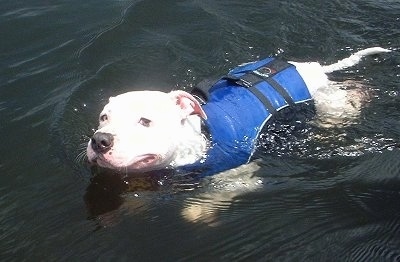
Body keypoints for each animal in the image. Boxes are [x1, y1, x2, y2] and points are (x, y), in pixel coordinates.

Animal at [86, 47, 390, 178]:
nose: (100, 140)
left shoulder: (238, 166)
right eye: (104, 118)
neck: (201, 136)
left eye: (145, 121)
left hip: (327, 101)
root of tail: (308, 67)